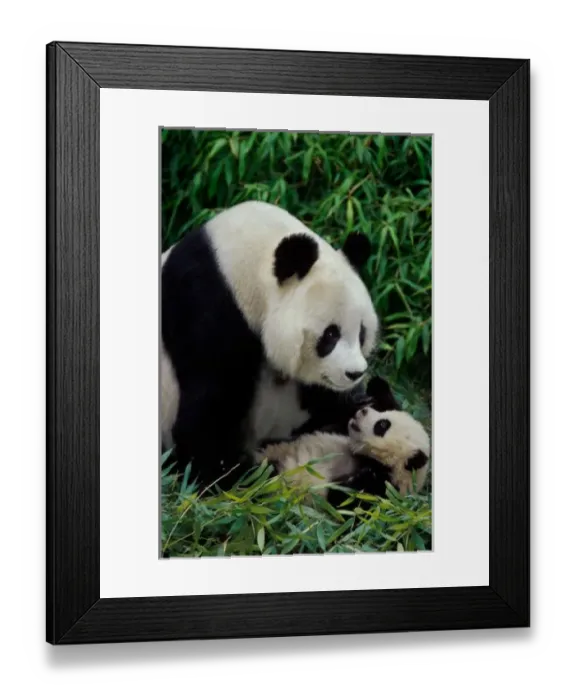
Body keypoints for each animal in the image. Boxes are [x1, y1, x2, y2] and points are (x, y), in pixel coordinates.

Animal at [160, 200, 379, 489]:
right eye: (330, 335)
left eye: (362, 332)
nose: (354, 373)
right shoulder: (205, 310)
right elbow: (206, 411)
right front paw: (233, 476)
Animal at [254, 376, 431, 507]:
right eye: (382, 413)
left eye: (382, 425)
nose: (363, 411)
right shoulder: (338, 428)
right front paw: (375, 389)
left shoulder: (383, 489)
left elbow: (345, 501)